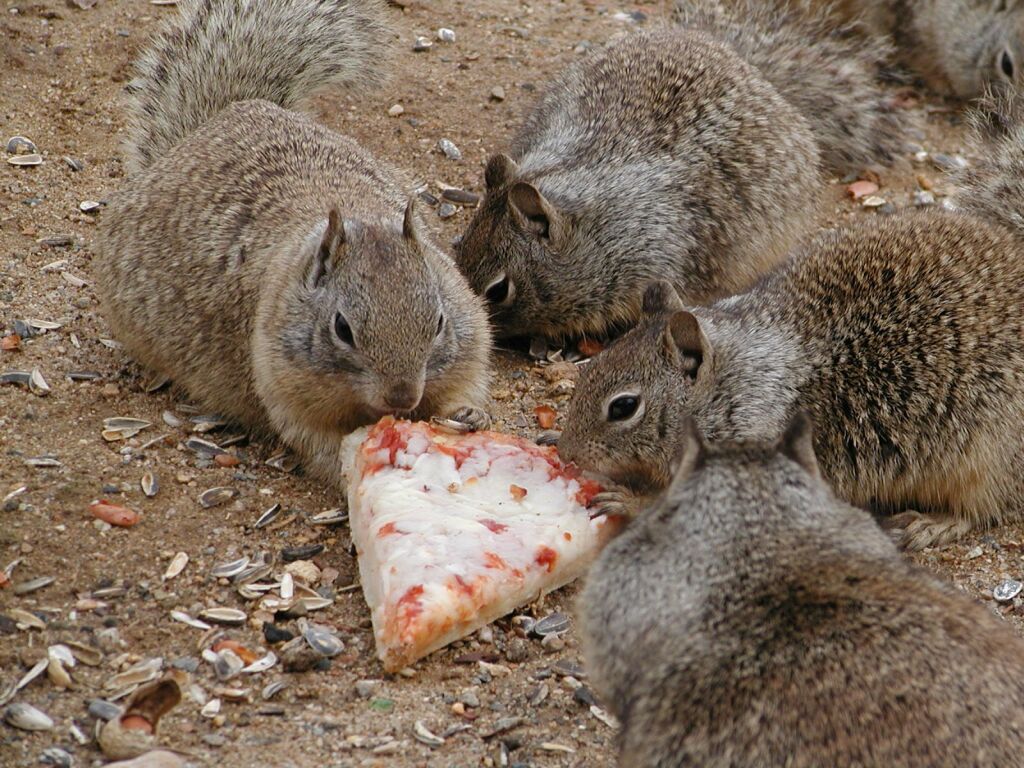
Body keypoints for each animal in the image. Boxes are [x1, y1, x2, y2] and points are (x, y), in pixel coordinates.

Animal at [94, 0, 493, 482]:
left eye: (438, 322)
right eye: (342, 329)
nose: (402, 398)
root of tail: (224, 118)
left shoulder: (469, 342)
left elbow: (465, 386)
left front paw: (469, 415)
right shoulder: (288, 393)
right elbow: (321, 446)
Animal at [558, 90, 1024, 551]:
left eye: (623, 407)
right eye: (589, 369)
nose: (566, 453)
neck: (735, 387)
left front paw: (627, 500)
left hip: (984, 458)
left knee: (984, 508)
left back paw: (931, 523)